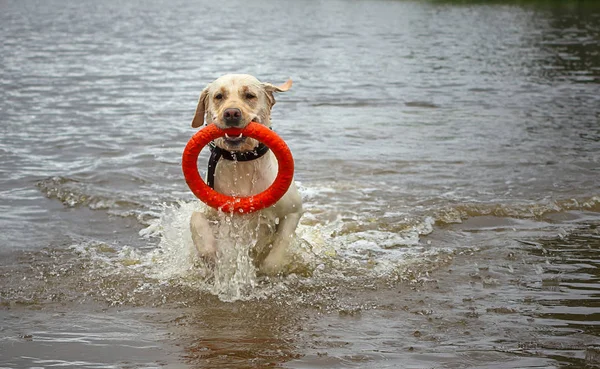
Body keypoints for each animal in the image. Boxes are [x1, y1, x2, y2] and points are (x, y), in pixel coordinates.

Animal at [188, 73, 302, 274]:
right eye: (219, 96)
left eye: (249, 95)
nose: (232, 113)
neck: (242, 161)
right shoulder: (213, 211)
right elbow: (196, 219)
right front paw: (210, 251)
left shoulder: (293, 211)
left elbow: (278, 249)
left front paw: (267, 268)